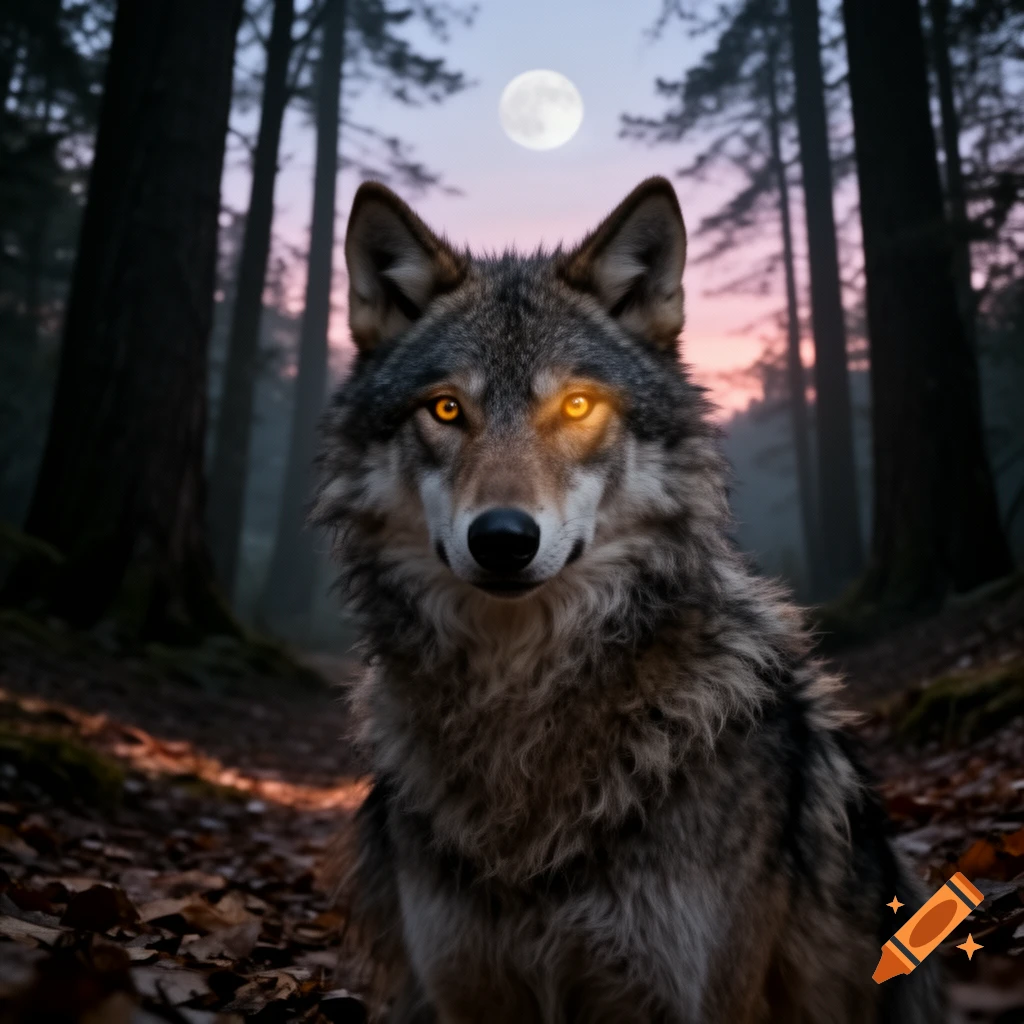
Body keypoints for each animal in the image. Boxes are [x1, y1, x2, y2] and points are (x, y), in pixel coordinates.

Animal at [313, 177, 944, 1023]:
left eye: (578, 407)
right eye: (445, 409)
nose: (503, 538)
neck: (521, 706)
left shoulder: (693, 994)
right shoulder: (463, 991)